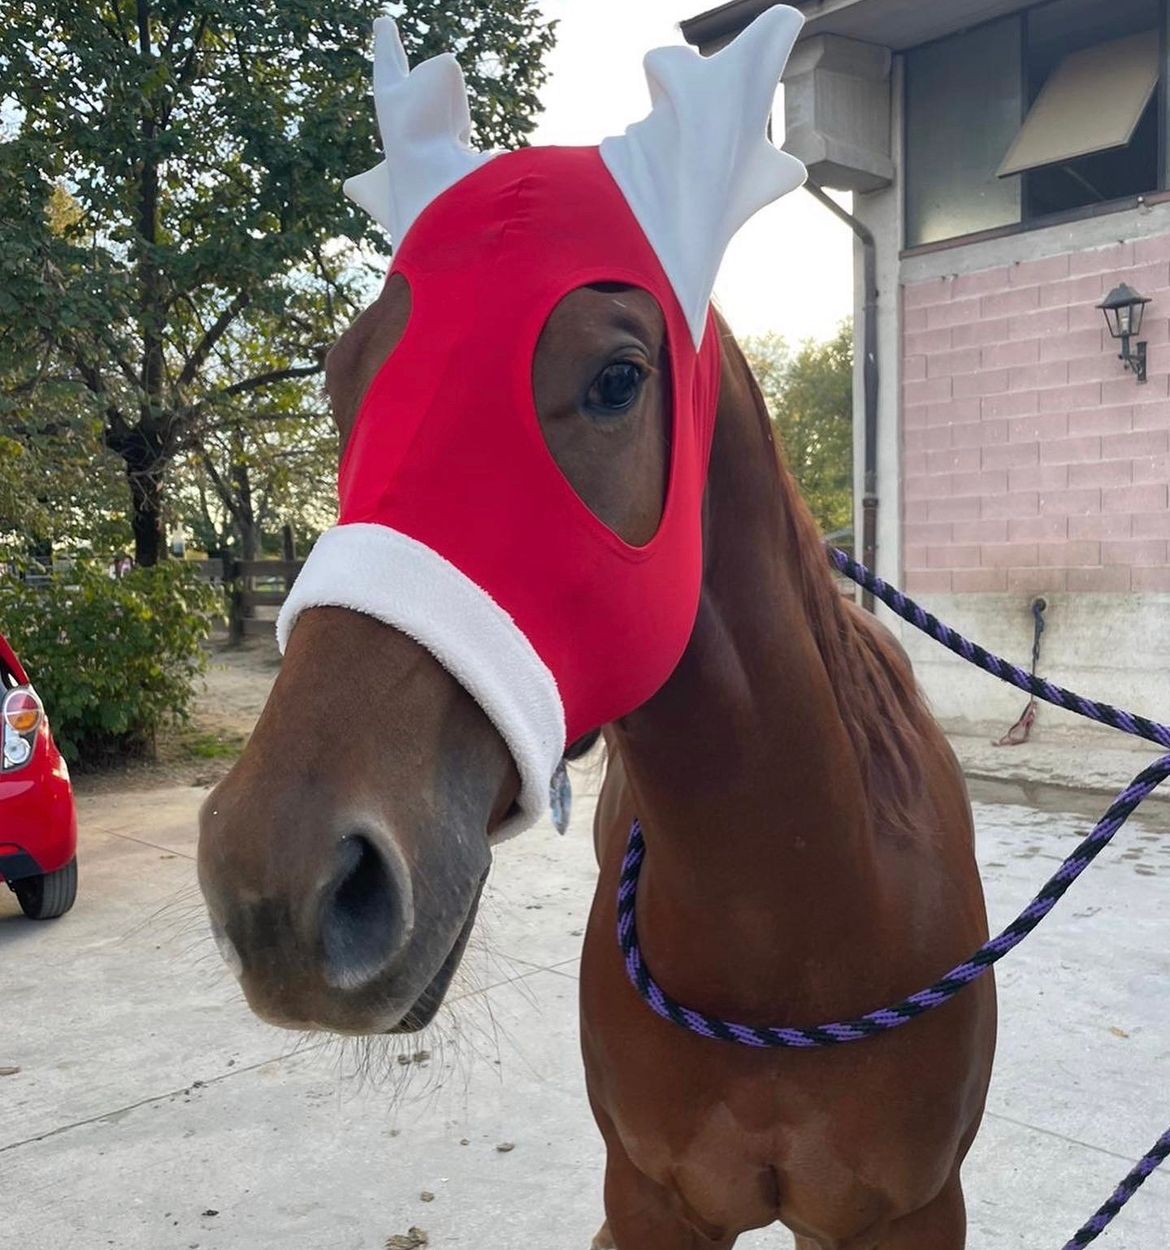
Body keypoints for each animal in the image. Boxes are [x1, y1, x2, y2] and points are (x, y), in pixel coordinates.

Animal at [198, 11, 996, 1247]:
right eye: (338, 382)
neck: (798, 921)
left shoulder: (905, 1213)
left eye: (619, 377)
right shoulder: (652, 1200)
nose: (276, 880)